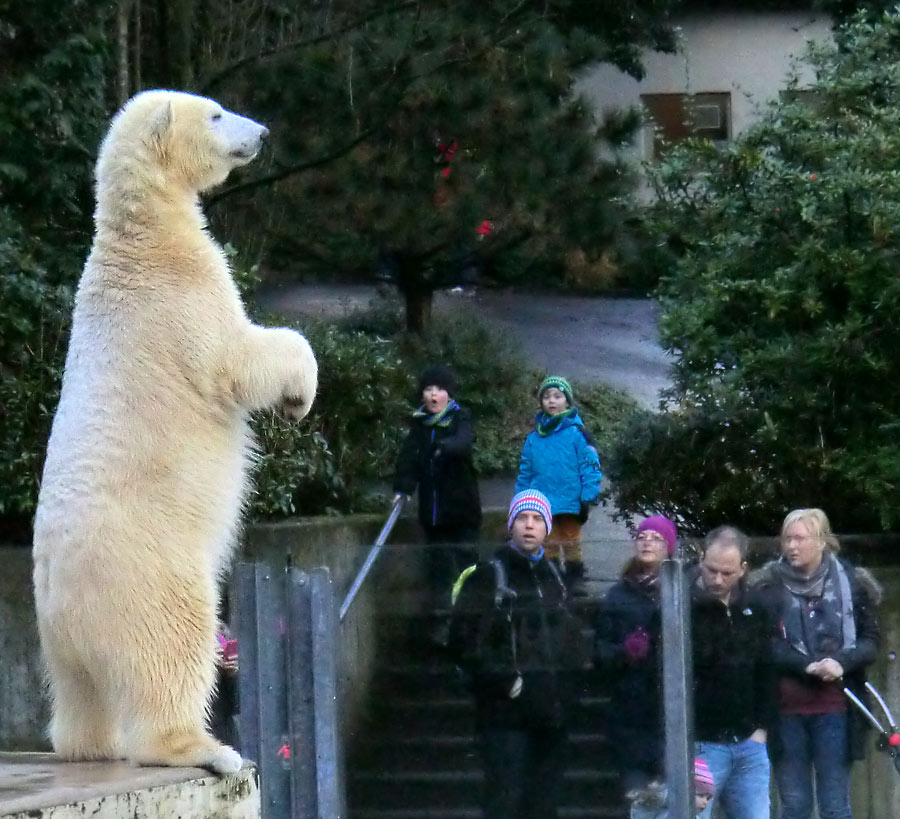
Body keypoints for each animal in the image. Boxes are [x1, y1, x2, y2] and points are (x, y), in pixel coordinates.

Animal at [31, 89, 318, 776]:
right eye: (215, 114)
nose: (262, 133)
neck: (140, 238)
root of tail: (63, 608)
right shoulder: (182, 295)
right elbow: (238, 357)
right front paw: (298, 395)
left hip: (59, 641)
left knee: (80, 694)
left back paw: (90, 744)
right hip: (147, 573)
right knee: (174, 643)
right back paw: (207, 749)